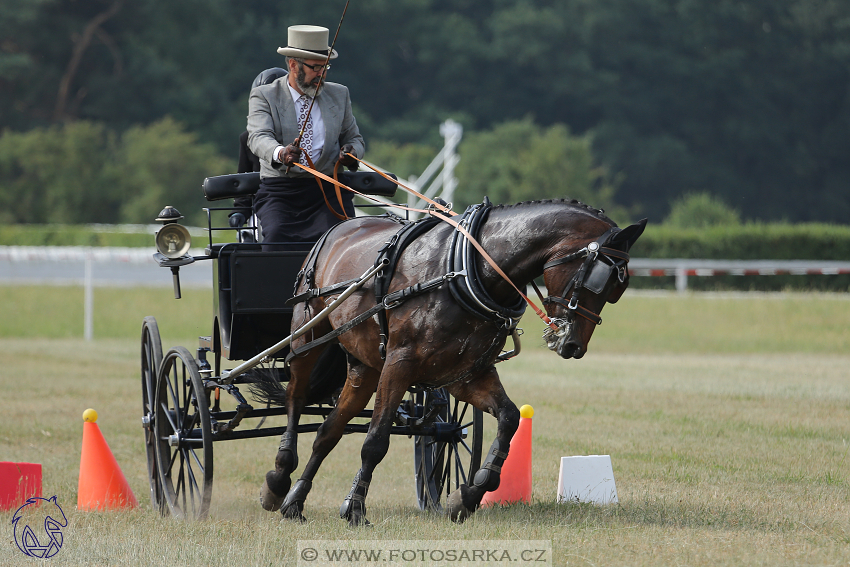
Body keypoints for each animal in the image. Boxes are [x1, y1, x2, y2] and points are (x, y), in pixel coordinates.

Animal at [248, 197, 644, 524]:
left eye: (618, 290)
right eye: (600, 280)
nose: (572, 344)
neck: (468, 271)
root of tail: (341, 227)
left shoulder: (463, 374)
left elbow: (509, 418)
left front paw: (470, 493)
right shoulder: (399, 364)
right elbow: (376, 441)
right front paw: (355, 507)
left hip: (365, 366)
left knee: (328, 430)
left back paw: (295, 502)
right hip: (307, 335)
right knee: (296, 397)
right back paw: (279, 478)